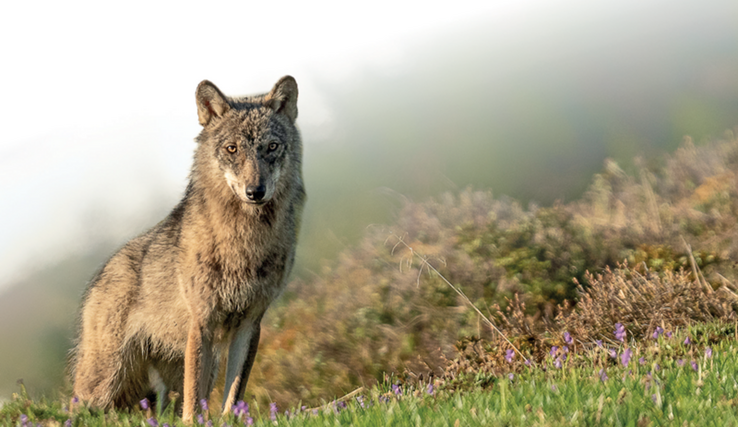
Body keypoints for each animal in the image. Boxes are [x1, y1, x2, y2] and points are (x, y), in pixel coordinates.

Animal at [71, 75, 304, 422]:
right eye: (232, 149)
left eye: (271, 147)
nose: (255, 191)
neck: (243, 242)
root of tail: (99, 275)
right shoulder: (202, 321)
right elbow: (194, 402)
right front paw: (195, 422)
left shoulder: (250, 323)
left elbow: (233, 393)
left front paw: (230, 420)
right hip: (104, 382)